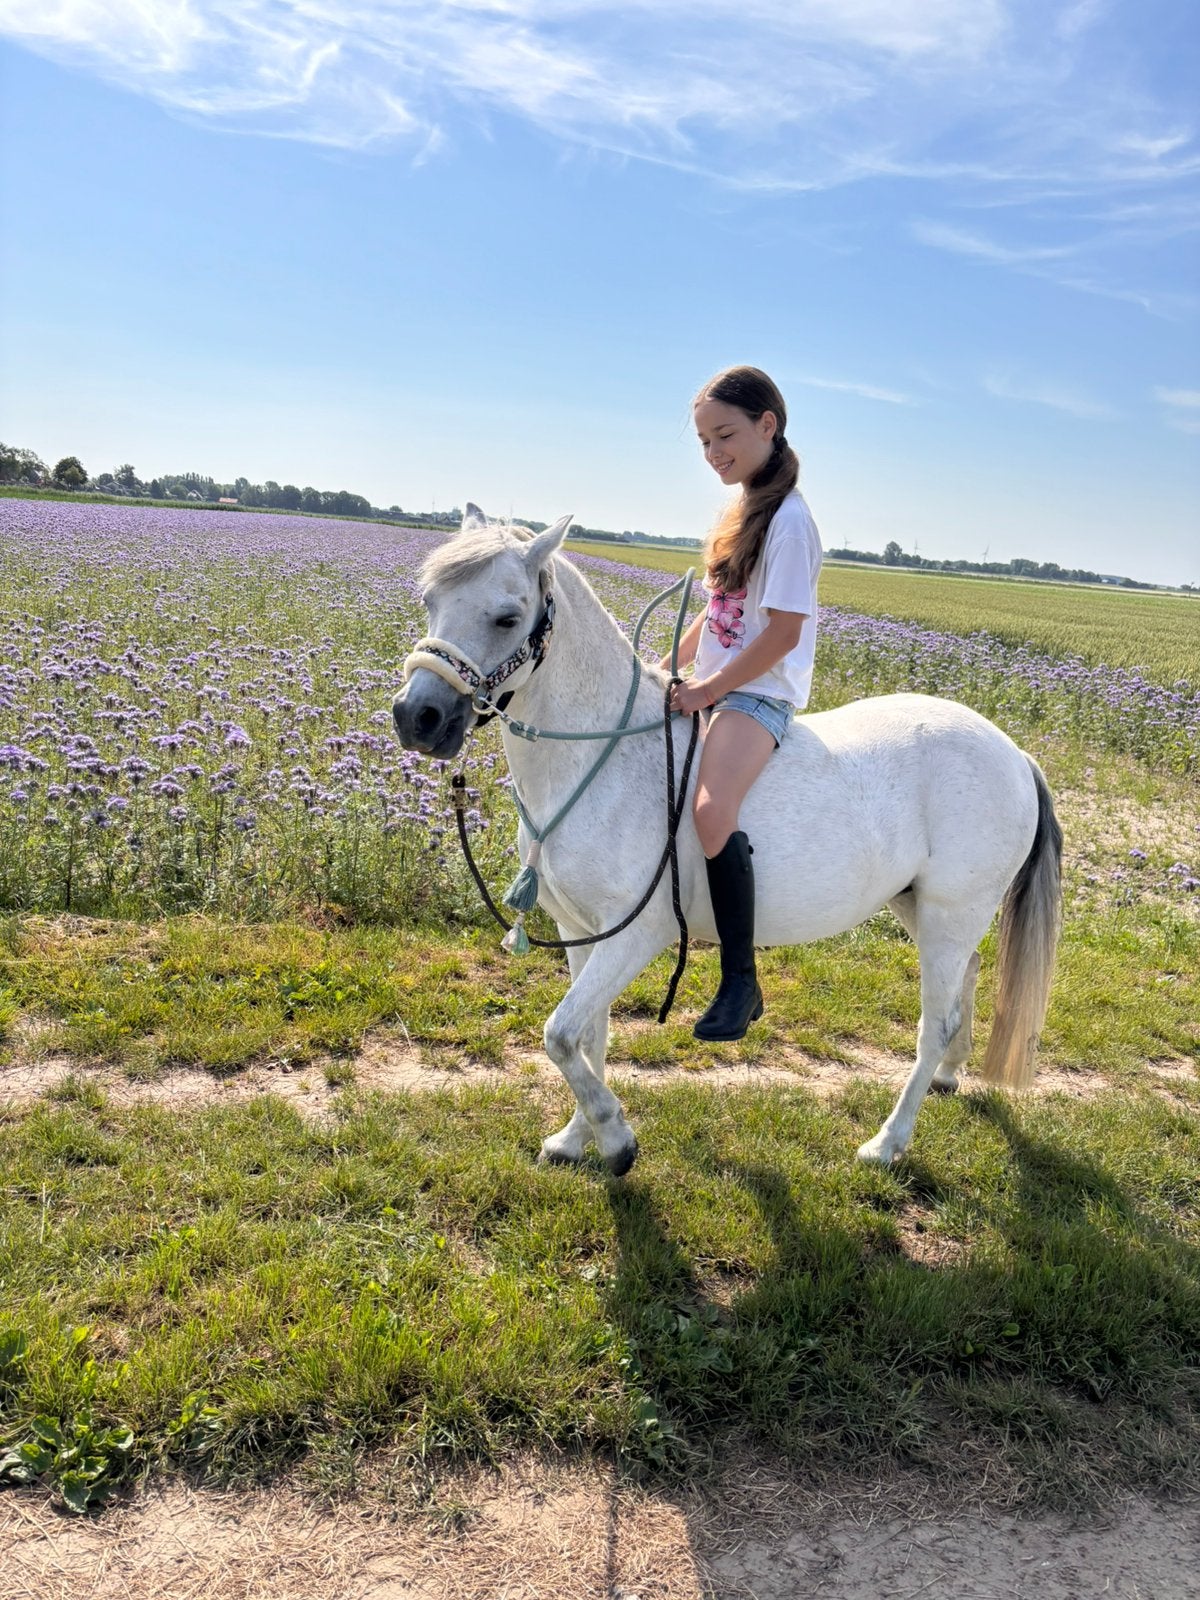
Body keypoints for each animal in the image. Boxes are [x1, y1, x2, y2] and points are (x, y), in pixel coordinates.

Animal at [393, 507, 1062, 1176]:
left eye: (507, 617)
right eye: (430, 601)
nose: (416, 717)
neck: (601, 754)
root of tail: (1014, 752)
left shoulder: (637, 934)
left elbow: (559, 1036)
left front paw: (615, 1137)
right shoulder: (580, 931)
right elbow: (587, 1035)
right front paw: (575, 1138)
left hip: (953, 911)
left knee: (936, 1021)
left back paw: (887, 1143)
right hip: (918, 904)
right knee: (967, 978)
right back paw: (949, 1077)